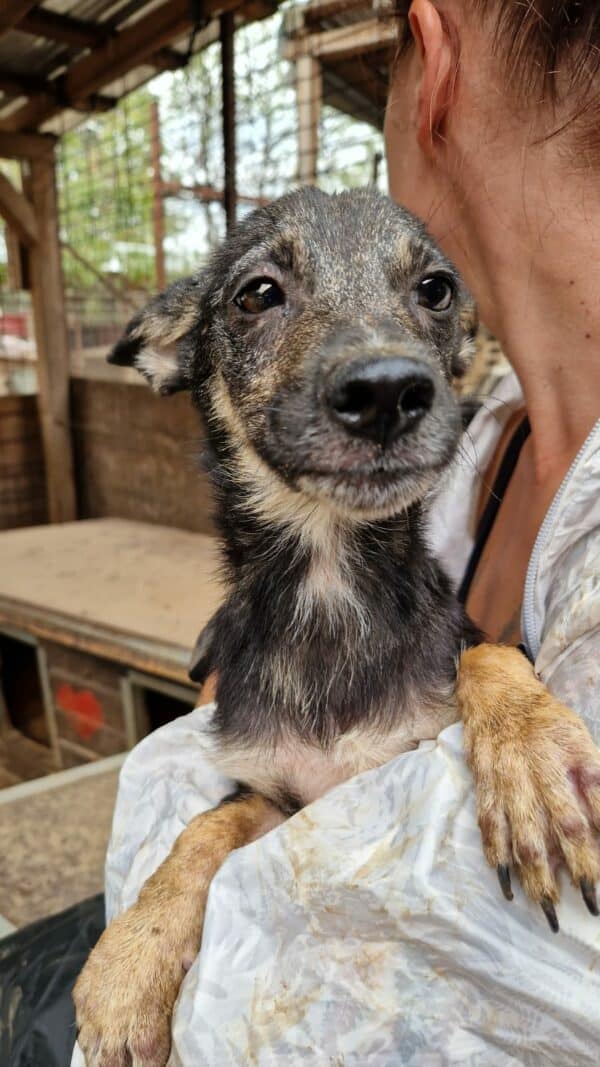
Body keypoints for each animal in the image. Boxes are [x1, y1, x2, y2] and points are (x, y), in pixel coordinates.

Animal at [73, 192, 597, 1067]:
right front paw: (129, 961)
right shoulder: (278, 793)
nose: (388, 390)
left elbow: (486, 650)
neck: (328, 587)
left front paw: (531, 761)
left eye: (435, 290)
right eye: (256, 294)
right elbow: (202, 829)